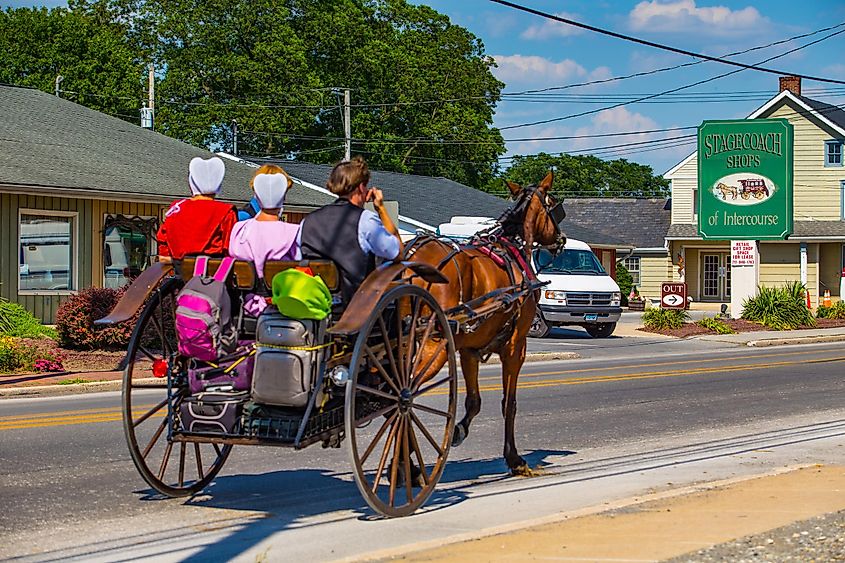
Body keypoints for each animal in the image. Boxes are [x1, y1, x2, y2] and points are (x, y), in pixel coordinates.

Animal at [404, 171, 564, 476]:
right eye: (552, 206)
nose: (561, 239)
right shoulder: (516, 347)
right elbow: (509, 404)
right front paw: (514, 459)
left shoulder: (469, 349)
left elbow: (474, 402)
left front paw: (459, 431)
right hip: (433, 345)